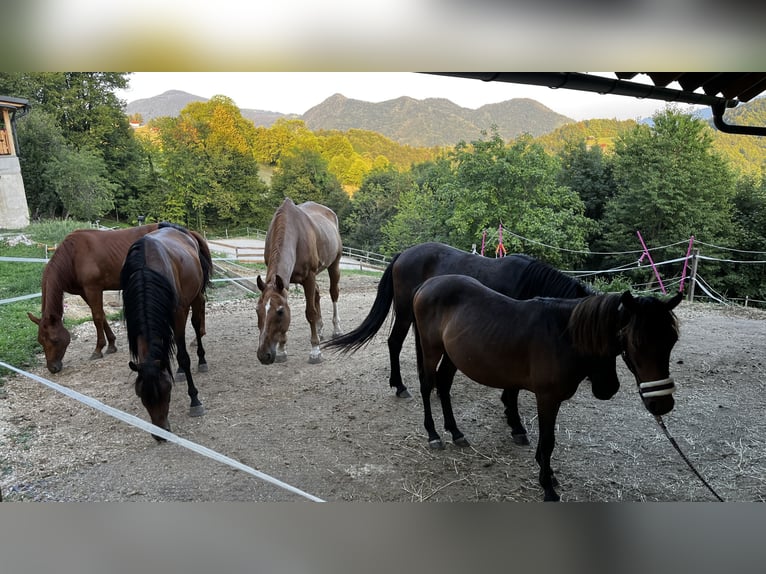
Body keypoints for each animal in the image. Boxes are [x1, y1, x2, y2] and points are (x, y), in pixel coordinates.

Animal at [28, 223, 161, 373]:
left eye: (54, 340)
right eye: (40, 341)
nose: (52, 368)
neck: (72, 256)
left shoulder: (93, 289)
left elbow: (97, 317)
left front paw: (98, 349)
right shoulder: (84, 292)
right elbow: (102, 315)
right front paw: (111, 345)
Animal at [120, 223, 213, 438]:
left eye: (166, 391)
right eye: (141, 395)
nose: (160, 434)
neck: (146, 270)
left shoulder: (178, 314)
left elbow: (184, 357)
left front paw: (195, 400)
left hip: (195, 297)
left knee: (196, 324)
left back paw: (201, 360)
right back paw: (178, 371)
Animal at [255, 198, 343, 365]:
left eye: (280, 312)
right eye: (257, 310)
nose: (263, 355)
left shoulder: (309, 277)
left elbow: (310, 312)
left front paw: (315, 351)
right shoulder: (284, 283)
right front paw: (282, 349)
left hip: (334, 264)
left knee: (334, 294)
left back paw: (337, 329)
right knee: (317, 294)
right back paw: (320, 329)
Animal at [412, 274, 682, 501]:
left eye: (672, 341)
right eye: (636, 342)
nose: (663, 403)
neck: (564, 335)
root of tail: (427, 284)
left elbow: (545, 441)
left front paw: (548, 473)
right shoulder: (547, 398)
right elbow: (548, 441)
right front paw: (547, 486)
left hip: (452, 355)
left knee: (444, 385)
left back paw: (455, 432)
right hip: (431, 349)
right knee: (427, 386)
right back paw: (433, 434)